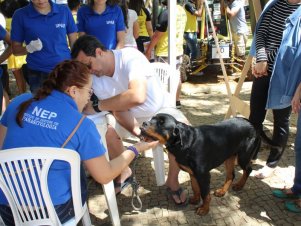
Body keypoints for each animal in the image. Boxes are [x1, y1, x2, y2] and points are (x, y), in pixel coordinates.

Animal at [141, 113, 276, 215]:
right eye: (152, 119)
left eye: (161, 123)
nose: (143, 124)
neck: (185, 144)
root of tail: (252, 124)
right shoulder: (193, 173)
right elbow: (195, 188)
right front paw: (195, 200)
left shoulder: (203, 175)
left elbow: (205, 194)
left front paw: (204, 209)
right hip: (229, 156)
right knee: (231, 175)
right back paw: (222, 191)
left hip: (243, 156)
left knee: (248, 169)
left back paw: (239, 185)